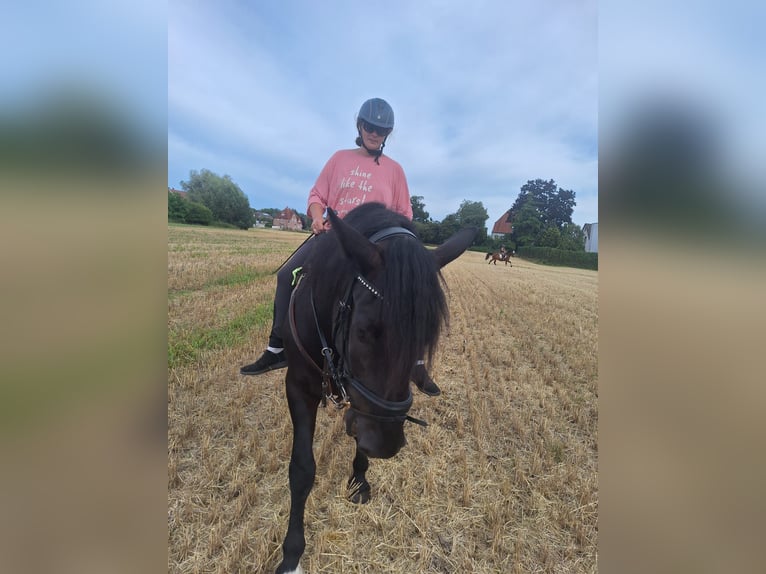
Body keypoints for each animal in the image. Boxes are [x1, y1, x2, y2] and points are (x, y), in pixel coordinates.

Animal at [275, 202, 476, 574]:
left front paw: (359, 480)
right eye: (364, 332)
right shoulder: (298, 387)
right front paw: (292, 554)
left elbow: (359, 438)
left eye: (427, 339)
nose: (387, 446)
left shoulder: (363, 407)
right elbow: (302, 468)